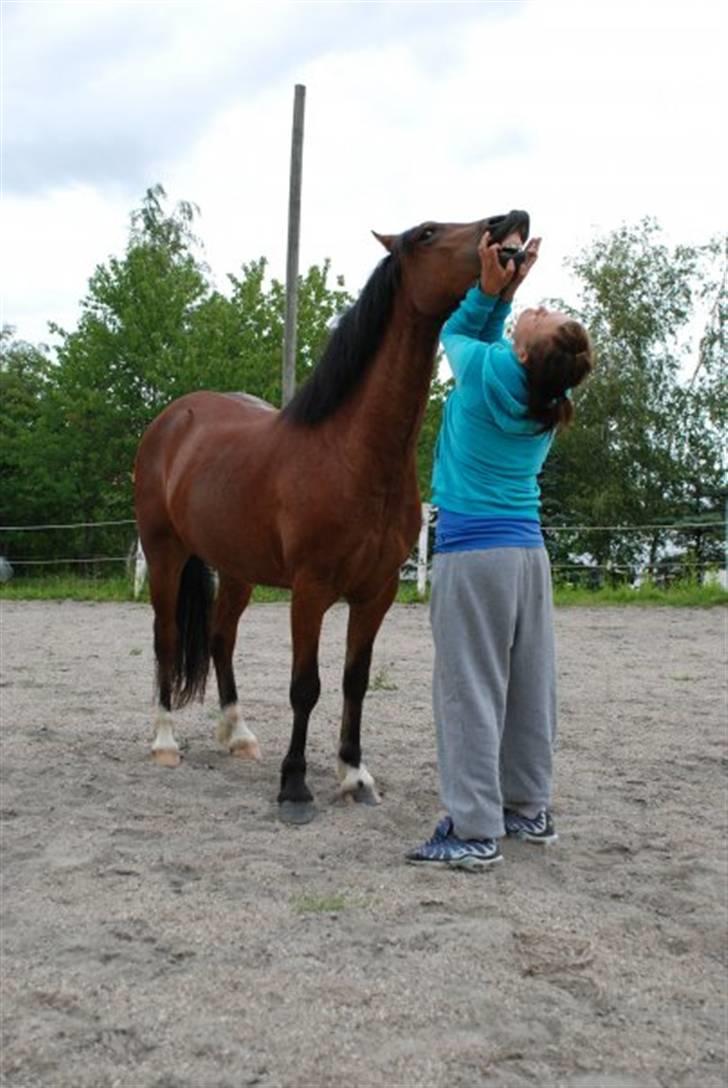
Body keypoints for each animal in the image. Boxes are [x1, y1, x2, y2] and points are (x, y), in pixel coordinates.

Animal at [133, 207, 528, 818]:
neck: (353, 452)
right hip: (165, 555)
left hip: (238, 569)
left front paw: (354, 775)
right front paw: (294, 785)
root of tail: (172, 419)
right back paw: (164, 742)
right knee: (167, 639)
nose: (511, 218)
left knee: (221, 639)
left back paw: (238, 734)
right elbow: (306, 686)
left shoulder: (377, 591)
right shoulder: (312, 588)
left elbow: (354, 681)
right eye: (426, 234)